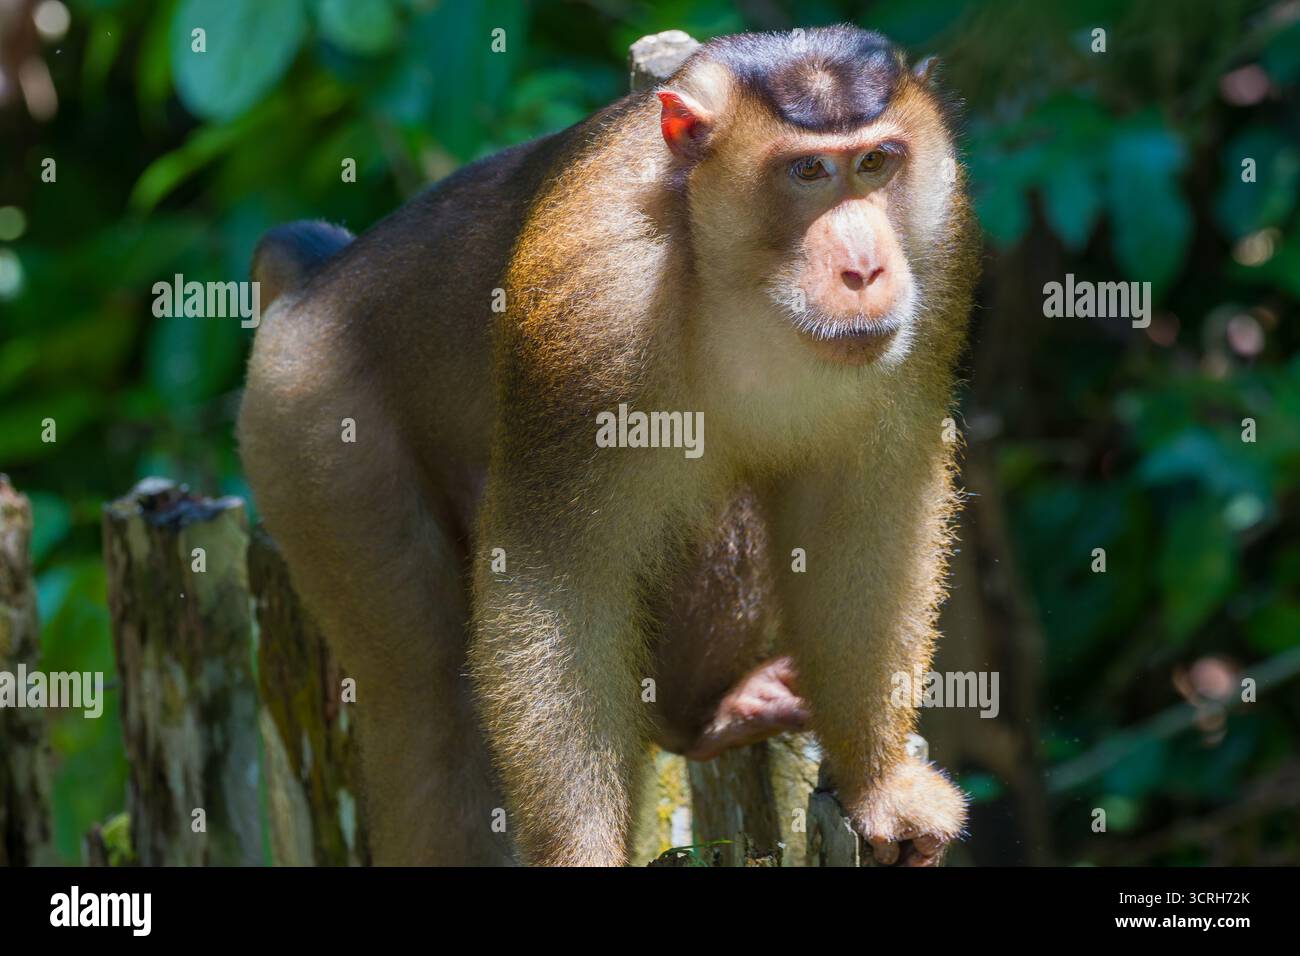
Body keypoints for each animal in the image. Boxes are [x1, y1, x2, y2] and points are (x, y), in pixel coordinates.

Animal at [237, 25, 979, 867]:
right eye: (808, 171)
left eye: (876, 164)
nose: (866, 267)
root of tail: (318, 276)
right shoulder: (594, 294)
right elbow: (556, 586)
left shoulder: (941, 255)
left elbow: (864, 514)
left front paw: (877, 788)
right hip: (306, 418)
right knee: (428, 695)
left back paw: (706, 718)